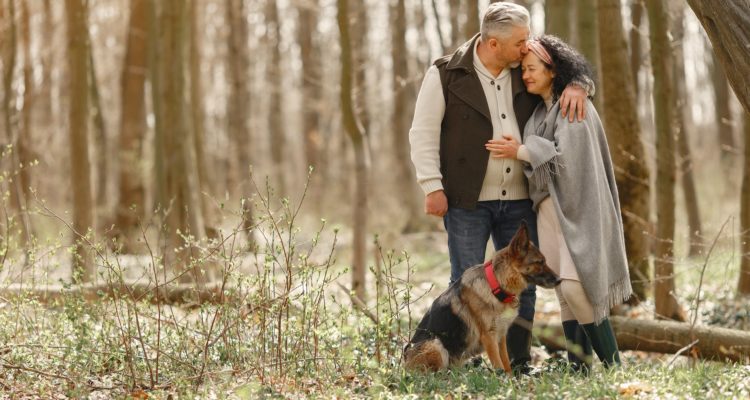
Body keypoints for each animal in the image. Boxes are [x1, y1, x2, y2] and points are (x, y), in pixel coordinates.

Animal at [406, 223, 560, 374]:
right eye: (540, 262)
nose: (559, 280)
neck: (495, 285)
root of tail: (403, 364)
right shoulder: (489, 337)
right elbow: (498, 365)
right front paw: (501, 378)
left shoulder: (501, 336)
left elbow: (505, 363)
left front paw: (510, 379)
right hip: (436, 344)